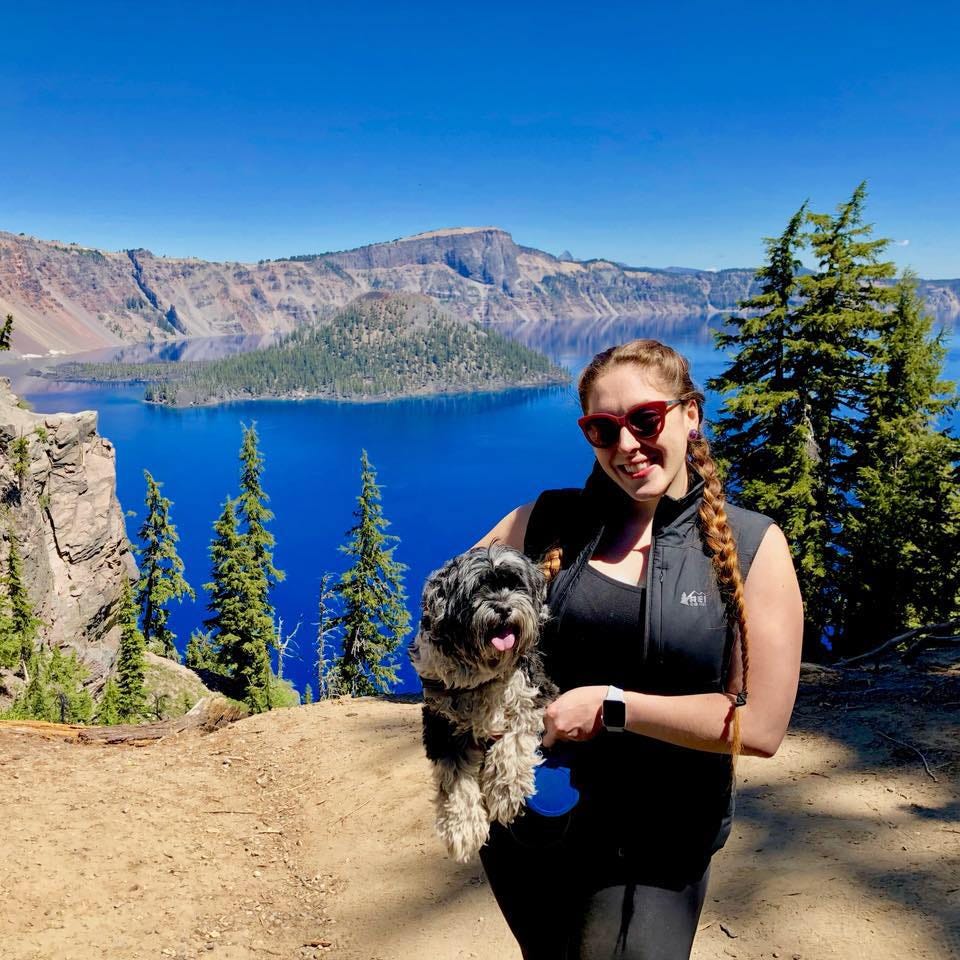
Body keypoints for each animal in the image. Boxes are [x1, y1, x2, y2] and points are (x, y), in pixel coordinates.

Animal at [408, 544, 560, 868]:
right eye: (478, 588)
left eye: (515, 584)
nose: (503, 608)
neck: (484, 675)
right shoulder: (440, 722)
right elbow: (454, 778)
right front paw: (462, 828)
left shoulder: (536, 692)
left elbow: (515, 738)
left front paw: (506, 790)